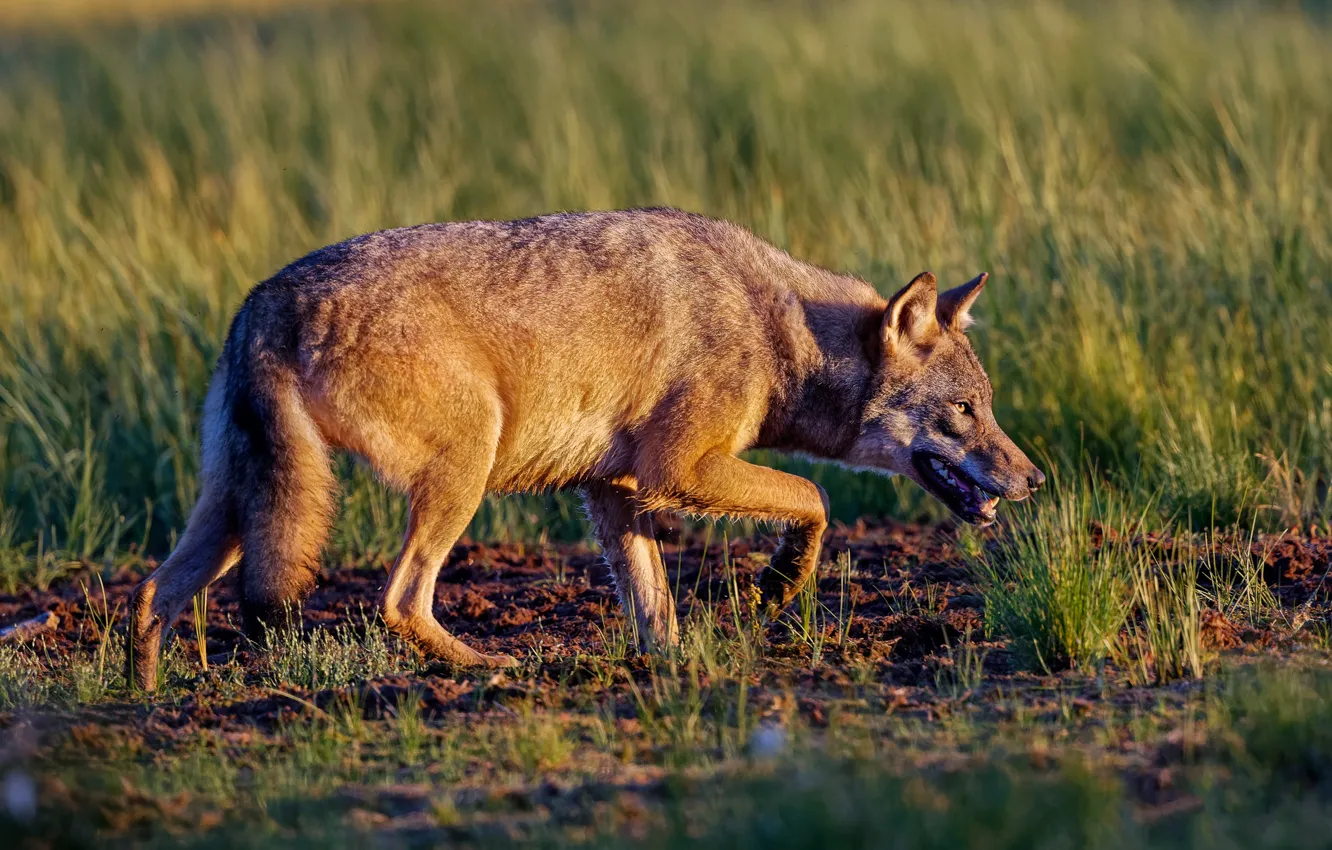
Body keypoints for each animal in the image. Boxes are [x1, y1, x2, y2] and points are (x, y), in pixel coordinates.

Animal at [126, 208, 1044, 691]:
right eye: (964, 412)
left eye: (988, 409)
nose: (1035, 478)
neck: (778, 326)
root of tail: (265, 301)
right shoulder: (677, 471)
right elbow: (815, 501)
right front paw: (780, 584)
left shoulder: (615, 489)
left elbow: (655, 604)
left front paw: (672, 668)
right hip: (458, 477)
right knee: (398, 600)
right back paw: (493, 666)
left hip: (240, 515)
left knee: (152, 594)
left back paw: (151, 705)